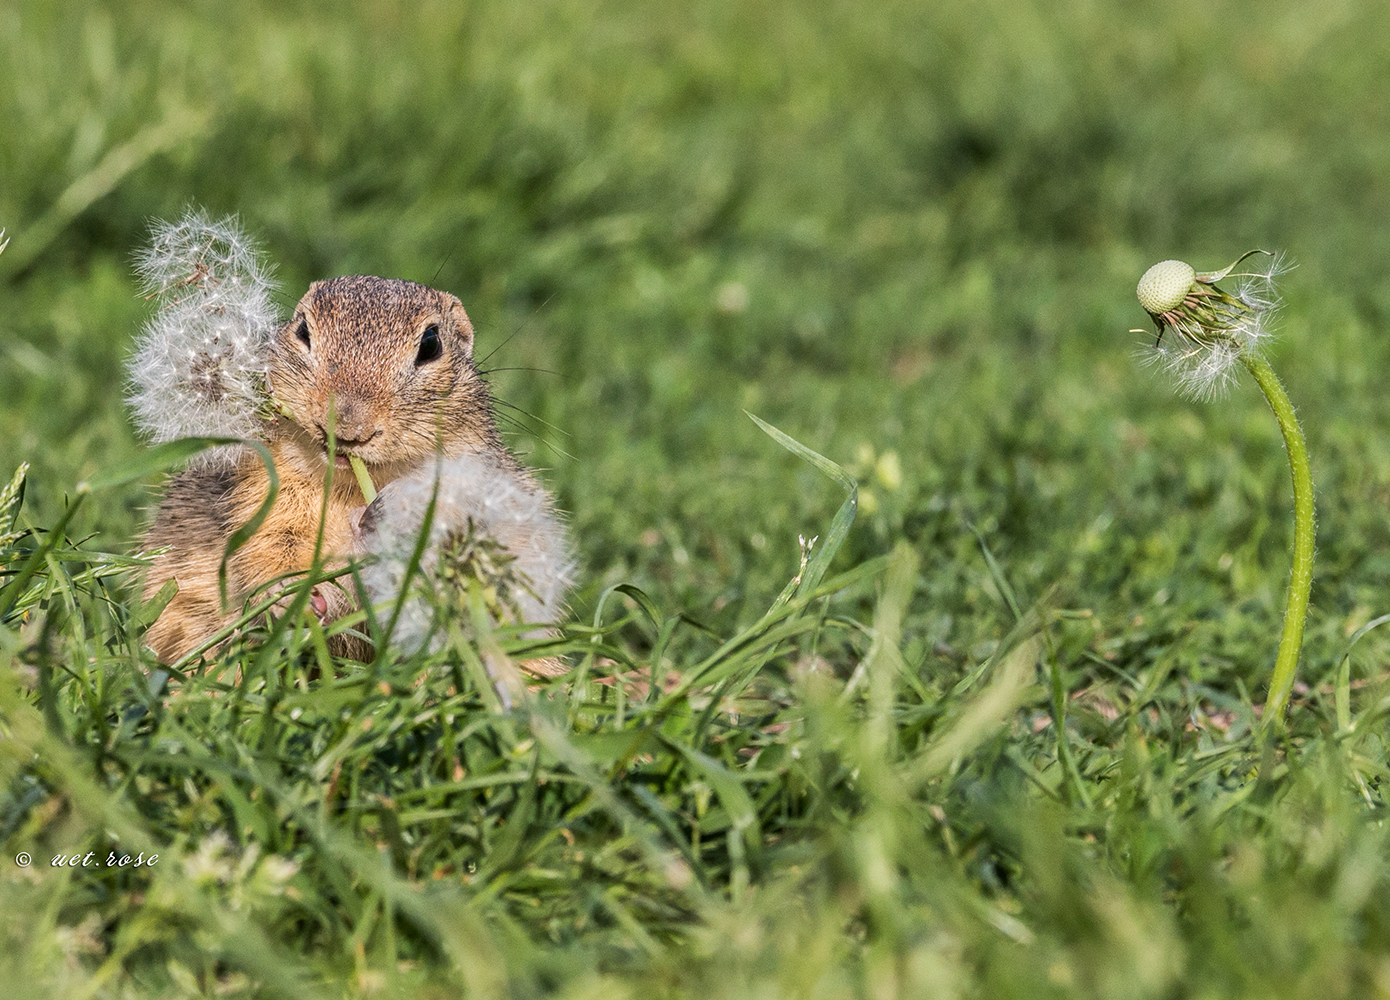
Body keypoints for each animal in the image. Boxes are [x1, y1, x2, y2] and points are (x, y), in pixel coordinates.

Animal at [142, 273, 569, 667]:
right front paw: (295, 598)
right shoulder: (261, 492)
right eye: (302, 330)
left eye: (431, 344)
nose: (346, 426)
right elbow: (269, 552)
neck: (353, 486)